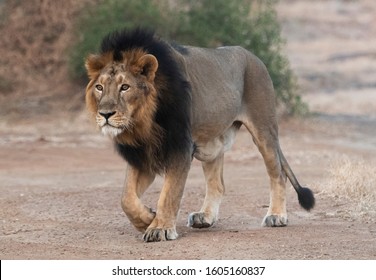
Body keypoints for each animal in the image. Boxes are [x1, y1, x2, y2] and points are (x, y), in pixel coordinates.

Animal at [85, 29, 314, 243]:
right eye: (99, 87)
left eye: (125, 87)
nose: (105, 114)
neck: (144, 121)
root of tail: (253, 56)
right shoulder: (142, 153)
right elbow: (126, 198)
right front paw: (147, 219)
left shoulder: (181, 147)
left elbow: (169, 193)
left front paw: (160, 228)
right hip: (212, 142)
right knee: (217, 184)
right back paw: (205, 217)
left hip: (264, 129)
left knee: (278, 173)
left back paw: (276, 216)